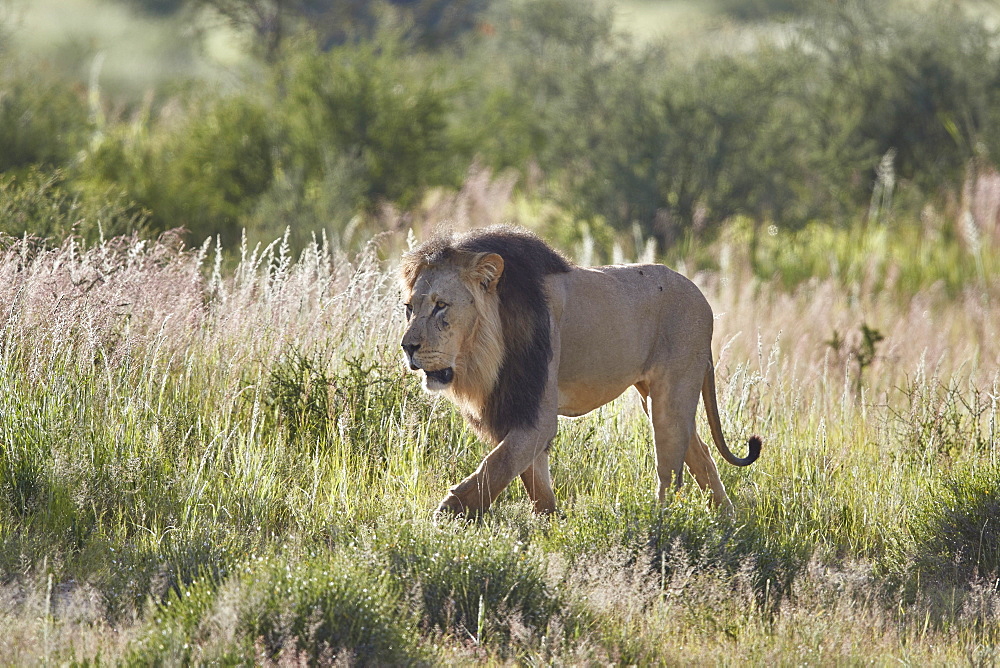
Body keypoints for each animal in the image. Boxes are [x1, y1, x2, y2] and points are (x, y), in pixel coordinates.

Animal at [398, 224, 756, 516]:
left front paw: (446, 517)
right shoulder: (516, 407)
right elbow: (533, 482)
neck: (483, 354)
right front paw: (549, 525)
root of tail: (701, 296)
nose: (407, 347)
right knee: (702, 454)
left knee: (670, 473)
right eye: (409, 308)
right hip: (655, 397)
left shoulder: (537, 415)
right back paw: (725, 521)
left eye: (441, 306)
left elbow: (496, 466)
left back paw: (662, 524)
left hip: (671, 398)